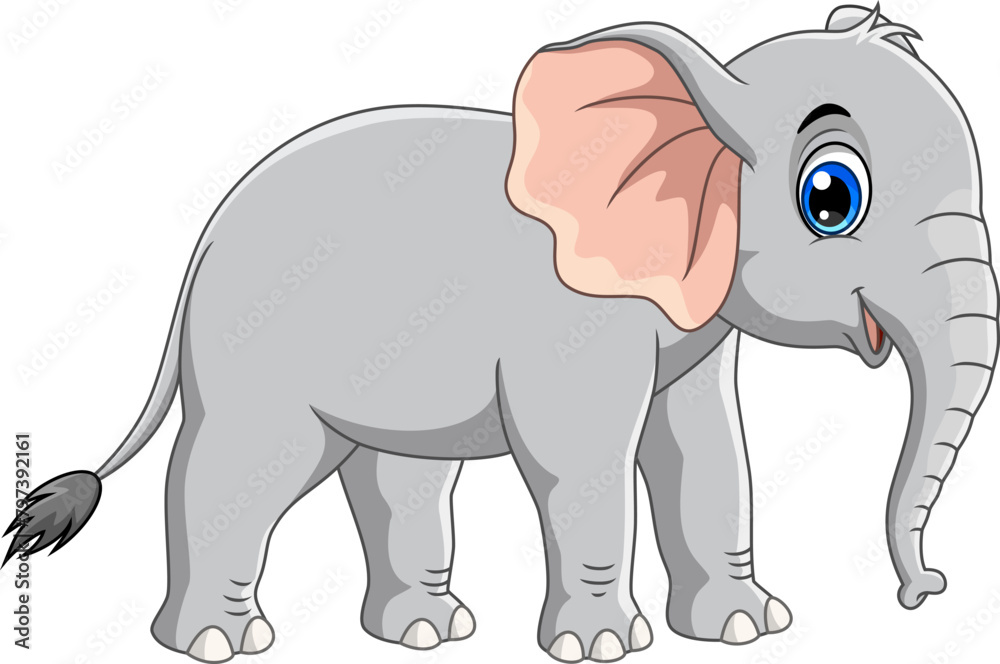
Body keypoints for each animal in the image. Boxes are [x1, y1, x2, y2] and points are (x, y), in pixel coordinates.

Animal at [5, 4, 996, 663]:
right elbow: (583, 457)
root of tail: (203, 241)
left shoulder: (698, 321)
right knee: (241, 464)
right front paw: (609, 648)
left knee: (396, 475)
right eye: (831, 198)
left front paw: (748, 629)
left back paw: (425, 633)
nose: (927, 592)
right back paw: (219, 643)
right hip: (255, 349)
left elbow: (703, 449)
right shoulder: (575, 317)